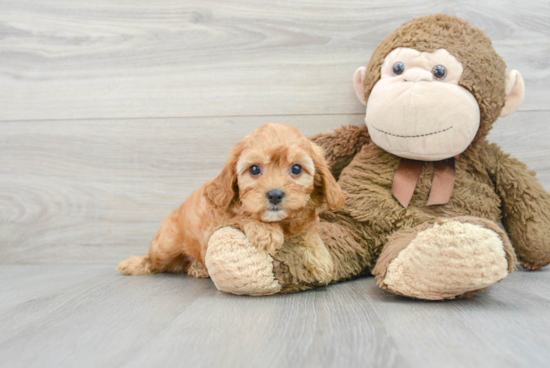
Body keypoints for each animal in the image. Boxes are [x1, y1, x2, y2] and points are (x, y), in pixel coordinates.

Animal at [118, 122, 348, 284]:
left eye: (297, 169)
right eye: (254, 169)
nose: (274, 195)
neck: (279, 221)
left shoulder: (305, 221)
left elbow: (308, 233)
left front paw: (321, 259)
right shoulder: (215, 225)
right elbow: (241, 216)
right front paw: (265, 231)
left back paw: (196, 267)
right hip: (165, 246)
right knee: (155, 259)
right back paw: (133, 263)